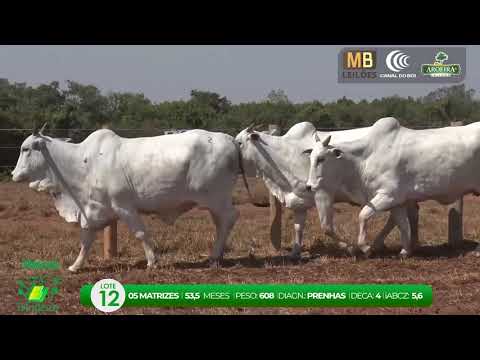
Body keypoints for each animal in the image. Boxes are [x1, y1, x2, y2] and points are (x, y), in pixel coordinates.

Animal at [12, 123, 240, 270]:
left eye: (25, 149)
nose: (14, 174)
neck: (81, 163)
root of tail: (230, 139)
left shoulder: (123, 206)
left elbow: (140, 233)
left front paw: (152, 261)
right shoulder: (92, 209)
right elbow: (86, 240)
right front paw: (75, 266)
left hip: (216, 198)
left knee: (228, 219)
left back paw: (214, 256)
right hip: (214, 202)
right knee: (221, 223)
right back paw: (216, 255)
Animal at [234, 122, 418, 258]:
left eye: (239, 142)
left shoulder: (322, 193)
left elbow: (326, 226)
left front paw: (349, 248)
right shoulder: (299, 202)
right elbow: (298, 228)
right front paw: (295, 253)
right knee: (402, 215)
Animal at [306, 117, 480, 256]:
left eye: (321, 159)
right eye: (311, 157)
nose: (309, 186)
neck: (365, 158)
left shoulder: (388, 195)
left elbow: (363, 215)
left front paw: (365, 248)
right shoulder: (397, 201)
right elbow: (402, 224)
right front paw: (405, 251)